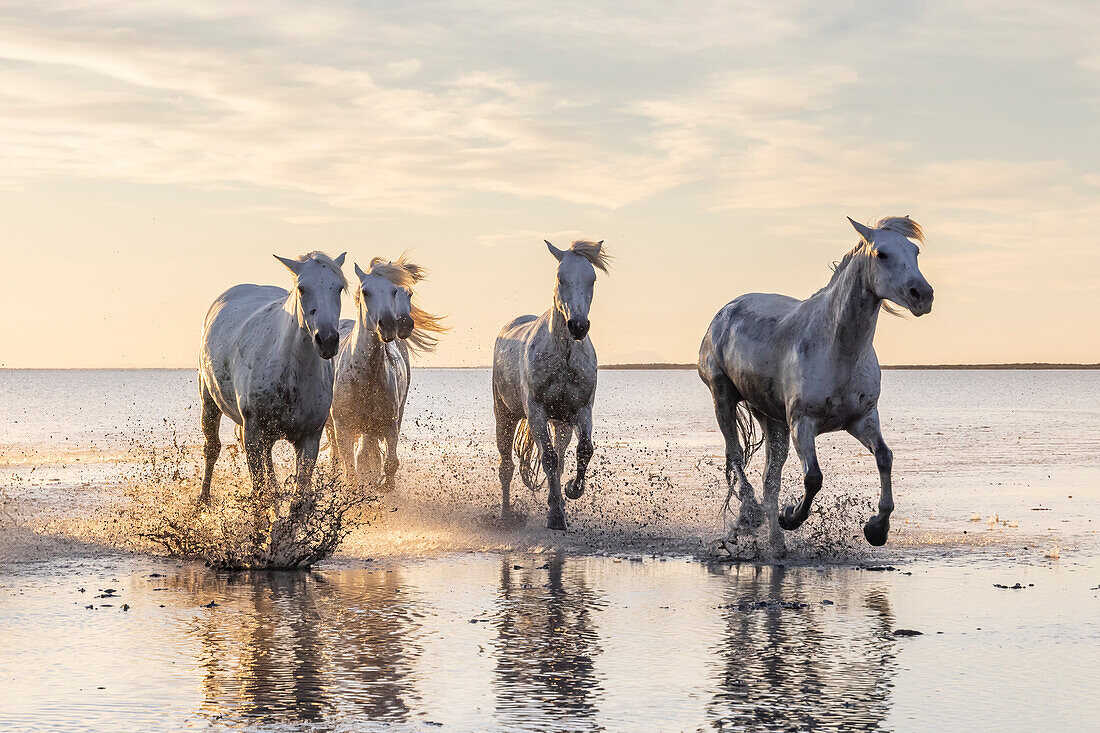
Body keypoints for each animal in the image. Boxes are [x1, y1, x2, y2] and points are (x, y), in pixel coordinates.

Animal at [200, 250, 345, 501]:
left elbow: (298, 499)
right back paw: (203, 502)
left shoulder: (309, 440)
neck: (290, 375)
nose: (327, 339)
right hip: (209, 401)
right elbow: (260, 494)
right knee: (212, 449)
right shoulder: (254, 434)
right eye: (302, 288)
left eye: (338, 288)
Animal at [327, 254, 444, 488]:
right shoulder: (342, 426)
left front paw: (383, 487)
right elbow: (350, 470)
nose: (390, 324)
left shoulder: (388, 424)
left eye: (397, 291)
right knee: (338, 455)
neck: (364, 377)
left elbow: (389, 463)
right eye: (366, 292)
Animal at [492, 239, 611, 530]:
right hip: (505, 415)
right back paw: (506, 514)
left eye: (592, 278)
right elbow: (548, 458)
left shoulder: (581, 410)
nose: (578, 326)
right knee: (506, 466)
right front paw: (556, 516)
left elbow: (583, 451)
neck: (563, 356)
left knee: (559, 459)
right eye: (560, 277)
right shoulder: (536, 412)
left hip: (561, 423)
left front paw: (571, 492)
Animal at [699, 216, 932, 548]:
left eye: (915, 251)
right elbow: (813, 477)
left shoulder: (861, 419)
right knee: (736, 457)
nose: (922, 295)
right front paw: (791, 516)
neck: (836, 349)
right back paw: (751, 515)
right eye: (882, 254)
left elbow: (884, 457)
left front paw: (877, 528)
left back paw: (776, 544)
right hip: (723, 398)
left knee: (770, 479)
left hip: (772, 420)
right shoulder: (803, 422)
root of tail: (723, 313)